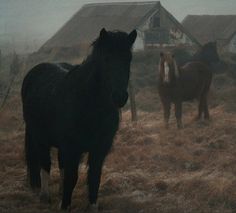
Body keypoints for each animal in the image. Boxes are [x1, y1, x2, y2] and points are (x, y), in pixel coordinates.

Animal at [22, 27, 136, 210]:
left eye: (128, 58)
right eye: (106, 58)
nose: (119, 97)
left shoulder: (99, 149)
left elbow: (94, 178)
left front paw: (92, 207)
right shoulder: (72, 148)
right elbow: (72, 178)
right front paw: (64, 207)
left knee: (60, 164)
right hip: (40, 138)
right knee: (45, 164)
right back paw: (45, 196)